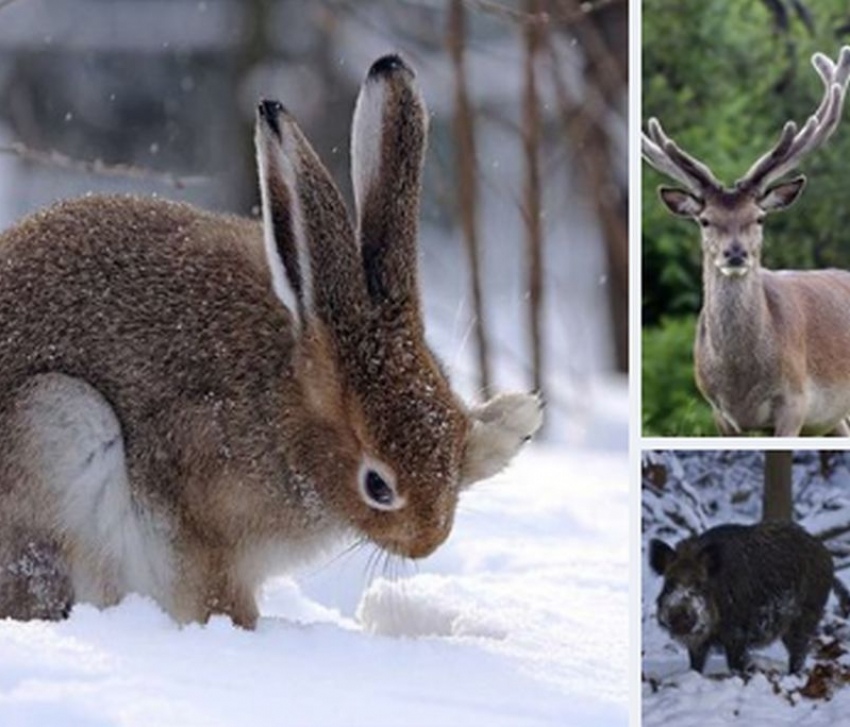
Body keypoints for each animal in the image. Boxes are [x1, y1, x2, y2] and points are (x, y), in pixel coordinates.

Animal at [640, 48, 848, 436]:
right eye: (705, 220)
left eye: (759, 217)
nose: (734, 253)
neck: (742, 380)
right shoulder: (720, 413)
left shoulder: (794, 403)